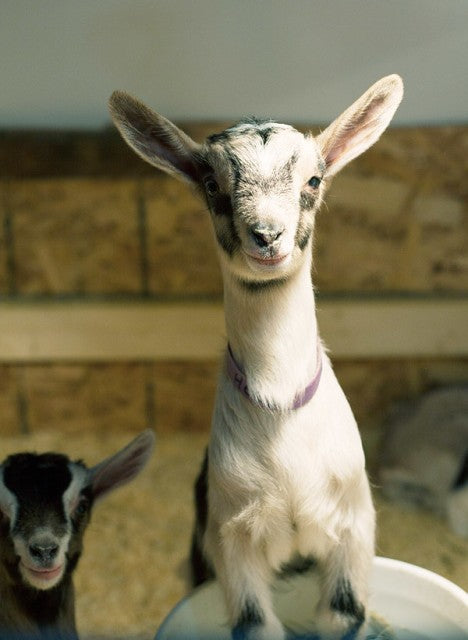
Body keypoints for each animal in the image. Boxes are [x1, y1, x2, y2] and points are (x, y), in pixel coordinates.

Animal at [109, 75, 403, 639]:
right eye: (211, 184)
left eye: (314, 179)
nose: (266, 235)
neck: (280, 407)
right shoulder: (231, 538)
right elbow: (255, 624)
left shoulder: (352, 524)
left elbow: (343, 615)